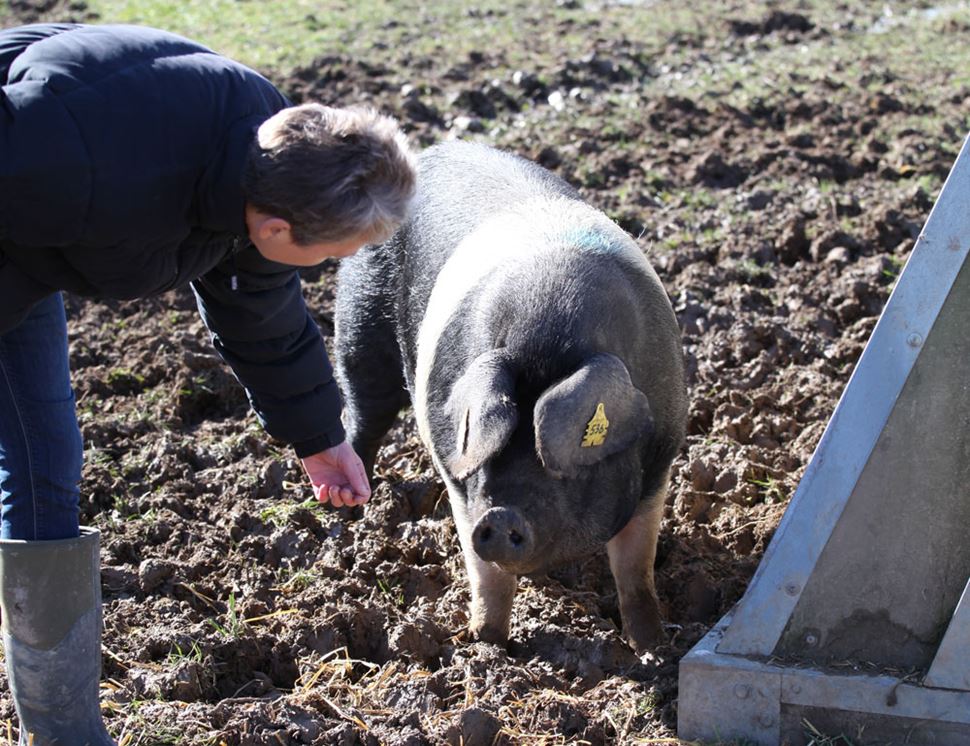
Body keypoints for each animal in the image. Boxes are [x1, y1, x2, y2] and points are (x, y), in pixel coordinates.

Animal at [336, 141, 684, 652]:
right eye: (489, 454)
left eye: (565, 465)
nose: (501, 516)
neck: (549, 338)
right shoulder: (458, 481)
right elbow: (489, 579)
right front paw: (486, 645)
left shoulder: (660, 460)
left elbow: (635, 570)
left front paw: (653, 649)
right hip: (358, 322)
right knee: (359, 418)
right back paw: (349, 510)